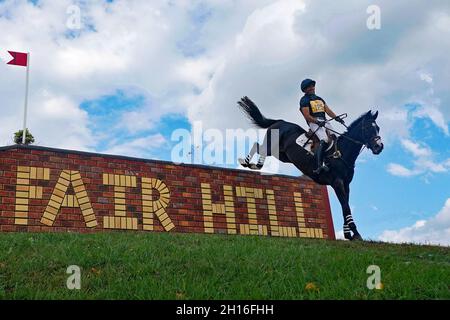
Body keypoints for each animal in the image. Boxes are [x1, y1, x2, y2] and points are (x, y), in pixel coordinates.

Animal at [236, 96, 384, 241]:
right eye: (367, 128)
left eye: (378, 128)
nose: (379, 147)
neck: (342, 153)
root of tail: (281, 121)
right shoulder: (337, 182)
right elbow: (346, 207)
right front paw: (356, 234)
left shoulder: (346, 184)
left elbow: (344, 205)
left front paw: (348, 234)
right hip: (272, 145)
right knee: (258, 146)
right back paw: (247, 162)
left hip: (282, 154)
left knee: (261, 149)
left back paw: (255, 164)